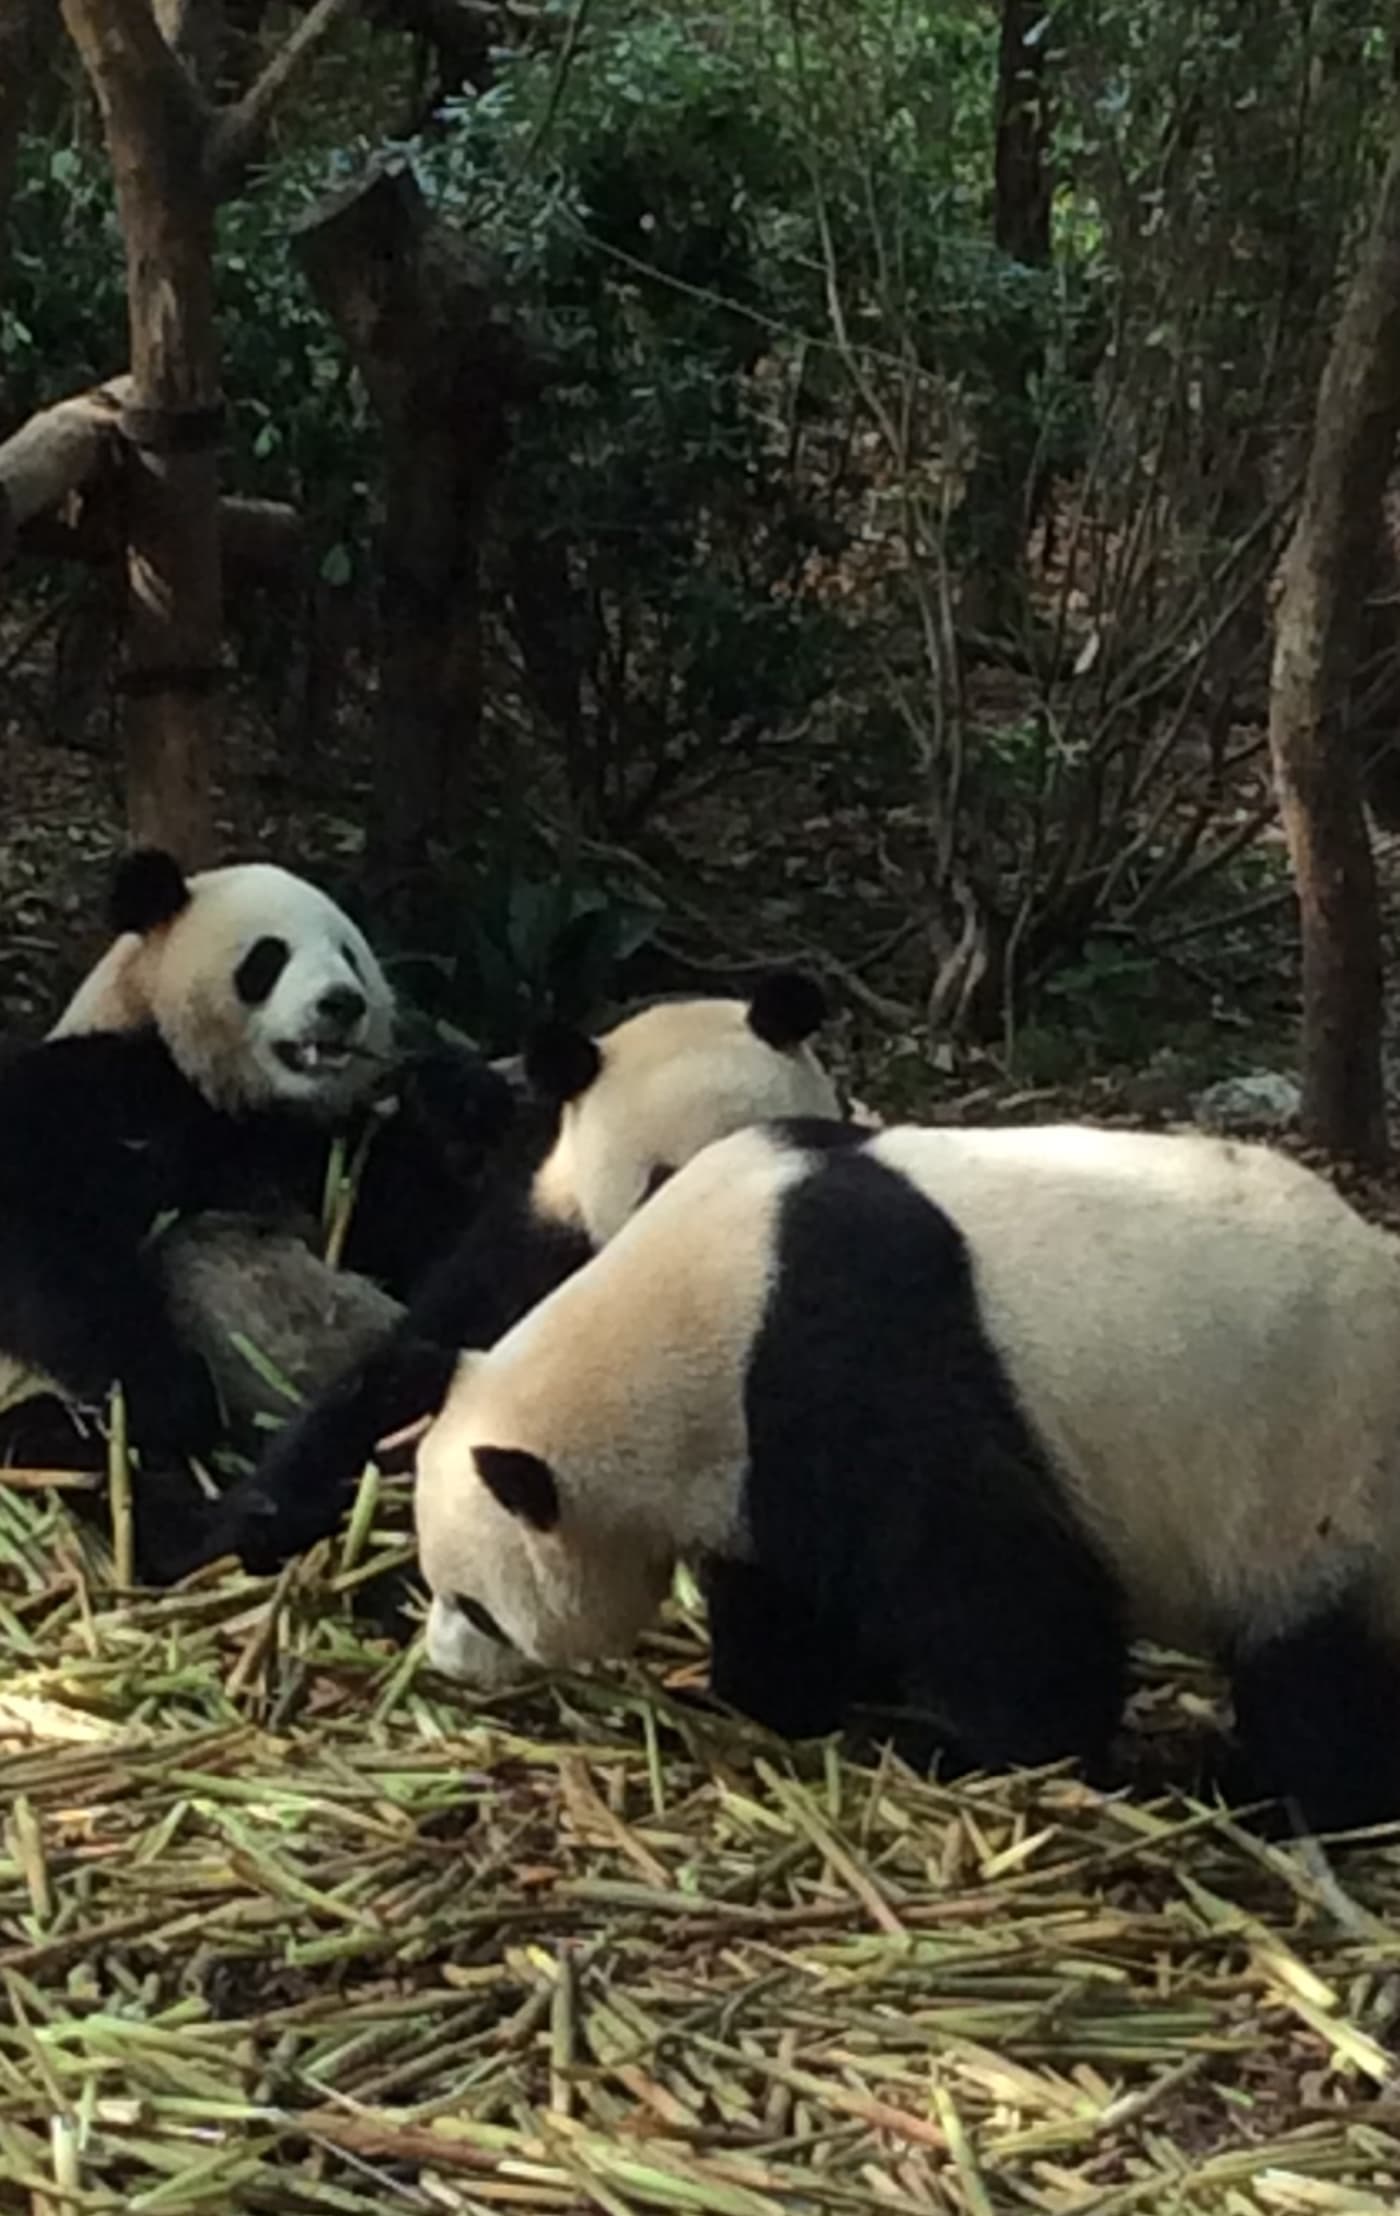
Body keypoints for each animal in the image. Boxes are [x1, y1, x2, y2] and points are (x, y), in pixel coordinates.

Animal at [0, 847, 515, 1560]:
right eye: (268, 957)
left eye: (349, 953)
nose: (342, 1003)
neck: (236, 1101)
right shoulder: (102, 1088)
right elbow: (47, 1233)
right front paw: (171, 1397)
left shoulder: (329, 1154)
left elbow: (426, 1231)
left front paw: (463, 1101)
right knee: (65, 1451)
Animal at [414, 1115, 1400, 1839]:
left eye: (473, 1604)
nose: (441, 1661)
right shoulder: (749, 1453)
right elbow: (783, 1596)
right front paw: (770, 1694)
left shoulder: (852, 1365)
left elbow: (997, 1587)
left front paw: (972, 1749)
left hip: (1317, 1471)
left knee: (1314, 1671)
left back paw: (1282, 1799)